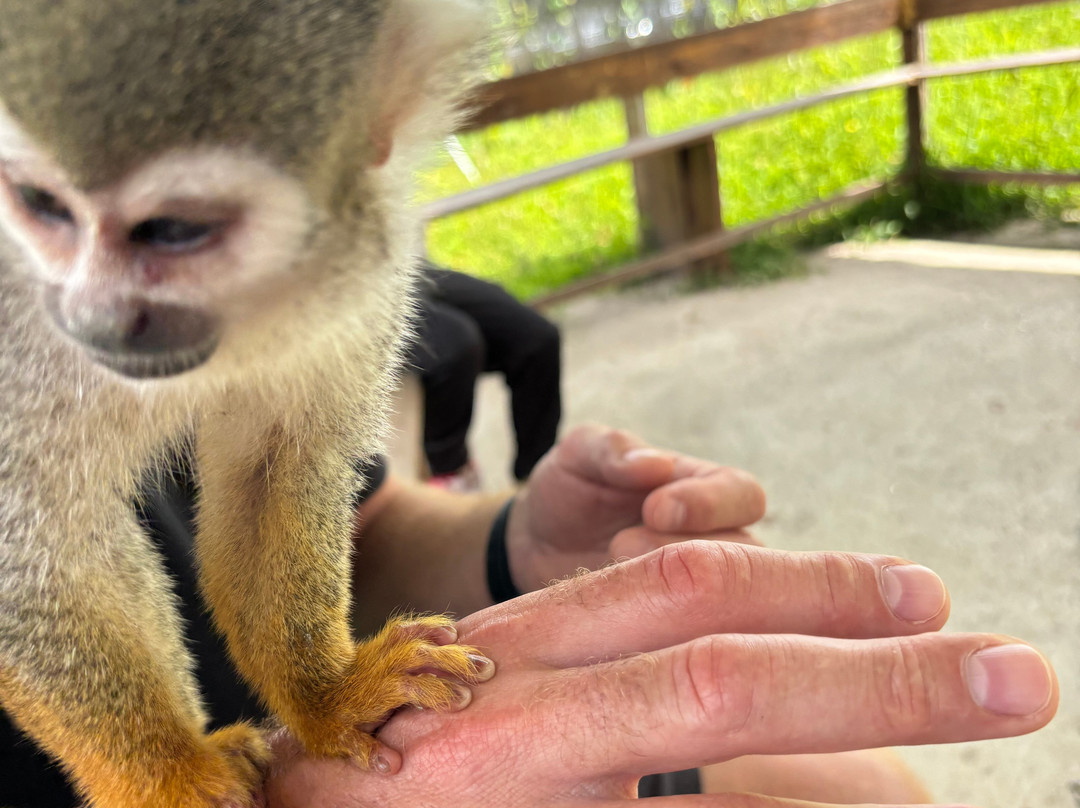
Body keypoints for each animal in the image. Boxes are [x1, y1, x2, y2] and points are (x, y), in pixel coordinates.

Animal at [0, 1, 493, 806]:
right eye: (43, 208)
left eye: (176, 230)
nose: (94, 319)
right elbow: (29, 542)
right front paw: (169, 781)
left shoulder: (359, 267)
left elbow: (278, 460)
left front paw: (328, 696)